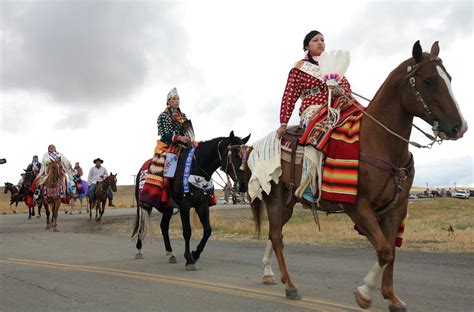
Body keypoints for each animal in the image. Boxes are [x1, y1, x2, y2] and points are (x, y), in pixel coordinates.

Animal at [131, 132, 250, 270]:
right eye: (235, 155)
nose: (243, 185)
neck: (195, 169)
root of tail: (142, 169)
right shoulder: (184, 206)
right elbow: (187, 231)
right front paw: (188, 259)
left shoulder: (202, 205)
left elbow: (208, 230)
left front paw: (195, 254)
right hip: (144, 205)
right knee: (142, 224)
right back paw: (139, 251)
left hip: (167, 208)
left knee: (164, 226)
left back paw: (171, 254)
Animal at [248, 40, 466, 310]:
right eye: (428, 81)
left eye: (449, 78)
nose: (459, 127)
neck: (378, 141)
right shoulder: (358, 207)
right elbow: (384, 250)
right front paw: (364, 293)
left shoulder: (395, 208)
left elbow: (390, 252)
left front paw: (392, 297)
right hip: (275, 200)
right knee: (277, 237)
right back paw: (289, 285)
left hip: (288, 203)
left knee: (273, 233)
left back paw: (269, 273)